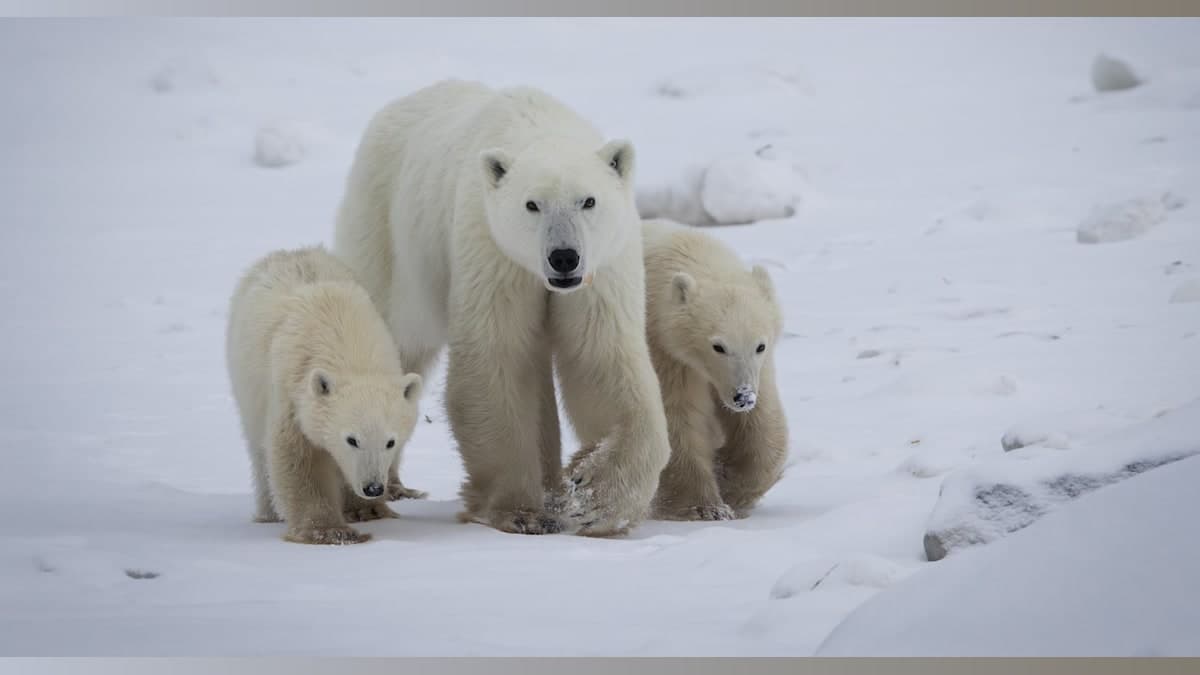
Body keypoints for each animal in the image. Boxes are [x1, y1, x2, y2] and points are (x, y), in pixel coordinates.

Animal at [225, 246, 424, 545]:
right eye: (352, 439)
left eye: (391, 442)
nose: (374, 487)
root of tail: (291, 252)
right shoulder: (292, 393)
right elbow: (299, 457)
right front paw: (330, 531)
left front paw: (367, 510)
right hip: (246, 382)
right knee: (258, 449)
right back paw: (268, 513)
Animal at [332, 79, 671, 537]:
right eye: (532, 204)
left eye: (588, 201)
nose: (564, 257)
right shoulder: (494, 252)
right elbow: (497, 360)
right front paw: (520, 512)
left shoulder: (601, 269)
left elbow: (601, 359)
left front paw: (596, 498)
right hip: (387, 236)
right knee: (393, 341)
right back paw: (378, 492)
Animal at [640, 218, 789, 520]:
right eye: (718, 347)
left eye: (760, 345)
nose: (743, 397)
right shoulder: (667, 352)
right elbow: (679, 418)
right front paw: (706, 508)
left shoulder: (760, 370)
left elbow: (763, 424)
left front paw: (732, 484)